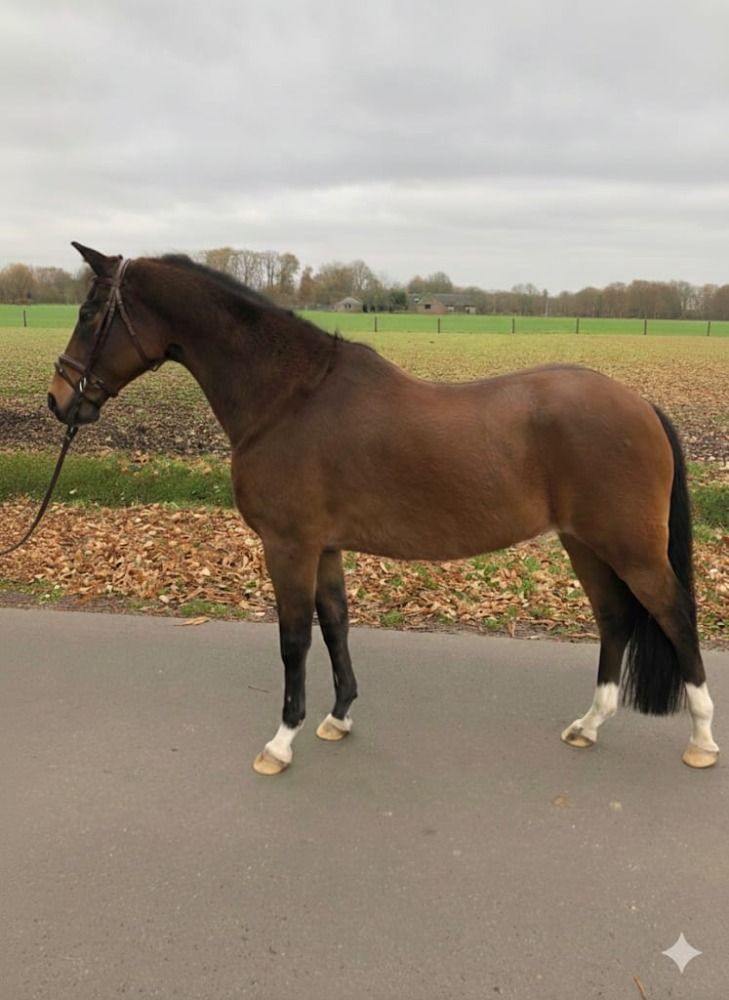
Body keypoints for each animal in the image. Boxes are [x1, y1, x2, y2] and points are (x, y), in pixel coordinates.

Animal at [48, 243, 720, 775]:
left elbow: (294, 640)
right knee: (614, 619)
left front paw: (281, 741)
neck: (290, 398)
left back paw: (702, 738)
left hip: (630, 548)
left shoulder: (289, 546)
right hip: (586, 544)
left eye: (88, 314)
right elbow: (336, 626)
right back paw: (589, 725)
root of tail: (641, 404)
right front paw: (338, 716)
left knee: (676, 615)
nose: (58, 400)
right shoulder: (324, 547)